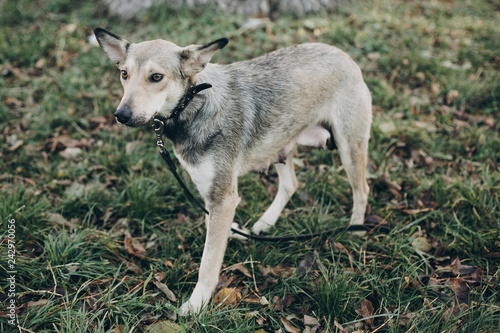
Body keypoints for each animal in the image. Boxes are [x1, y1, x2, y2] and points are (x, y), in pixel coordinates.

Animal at [95, 28, 374, 314]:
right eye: (124, 74)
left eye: (156, 77)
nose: (121, 115)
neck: (195, 103)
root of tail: (342, 54)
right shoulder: (210, 193)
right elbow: (211, 231)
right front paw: (232, 233)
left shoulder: (222, 198)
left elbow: (208, 263)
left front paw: (196, 304)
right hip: (281, 147)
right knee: (291, 185)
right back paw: (265, 223)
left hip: (349, 148)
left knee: (362, 189)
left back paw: (355, 228)